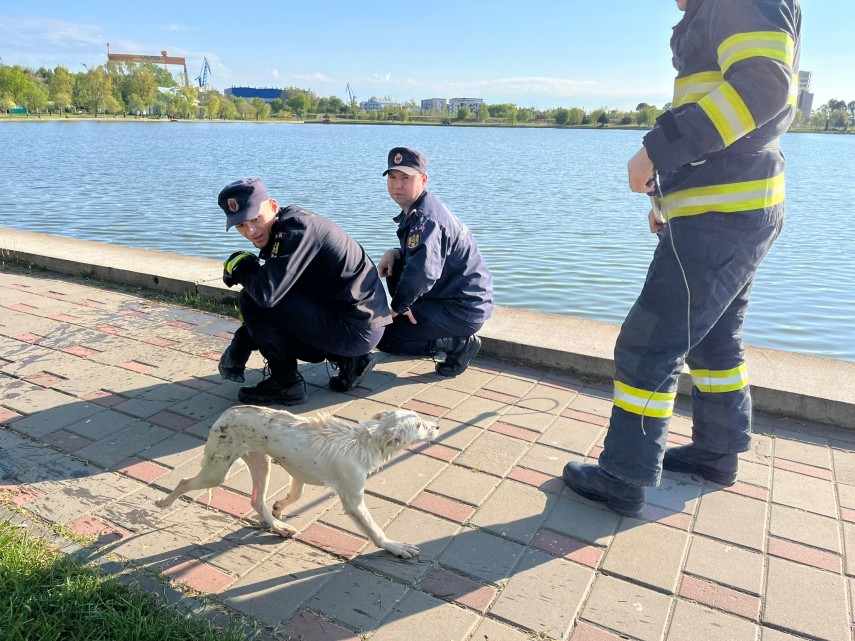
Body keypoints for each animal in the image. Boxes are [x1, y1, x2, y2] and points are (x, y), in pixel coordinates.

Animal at [154, 408, 438, 556]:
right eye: (419, 425)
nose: (437, 424)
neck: (364, 441)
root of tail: (226, 413)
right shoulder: (353, 501)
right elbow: (374, 530)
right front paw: (393, 547)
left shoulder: (298, 472)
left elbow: (296, 495)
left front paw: (280, 507)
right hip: (217, 471)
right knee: (183, 482)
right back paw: (163, 503)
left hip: (261, 463)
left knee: (257, 502)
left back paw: (278, 527)